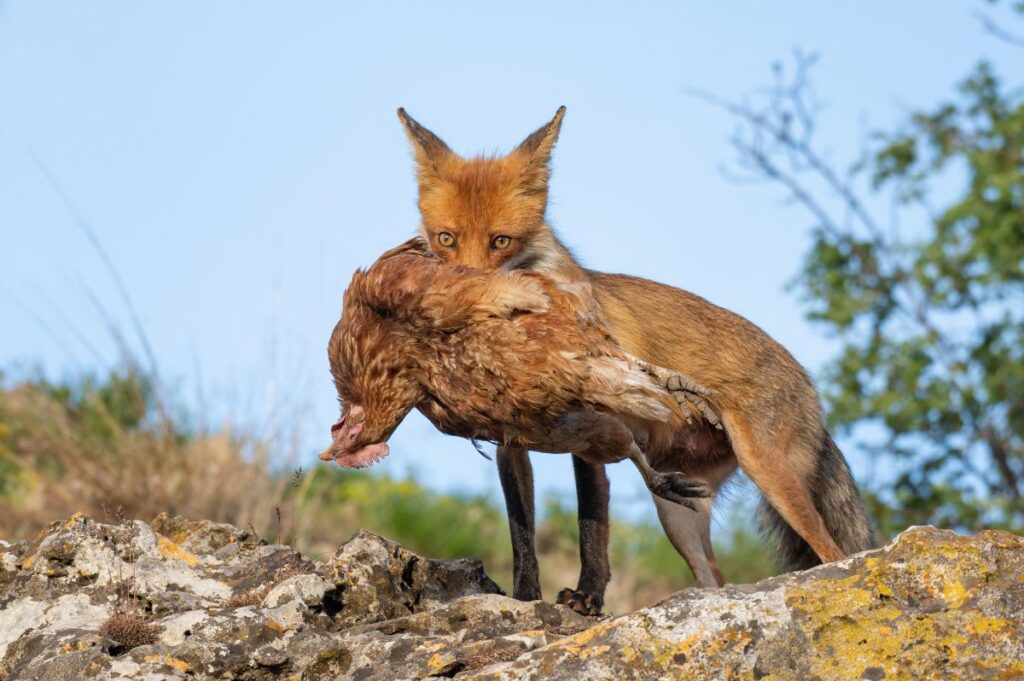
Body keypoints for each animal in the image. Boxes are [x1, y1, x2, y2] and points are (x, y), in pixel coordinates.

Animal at [395, 106, 876, 614]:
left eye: (501, 241)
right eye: (446, 238)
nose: (465, 295)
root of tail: (811, 386)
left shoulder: (593, 429)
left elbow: (591, 524)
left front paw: (587, 597)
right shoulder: (511, 444)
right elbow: (521, 532)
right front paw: (526, 600)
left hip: (770, 475)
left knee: (834, 554)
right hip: (679, 512)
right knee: (715, 580)